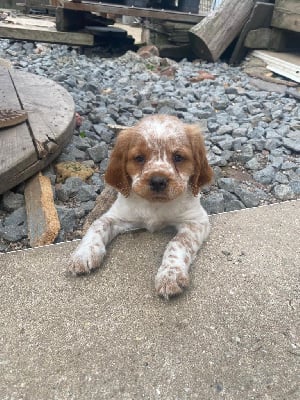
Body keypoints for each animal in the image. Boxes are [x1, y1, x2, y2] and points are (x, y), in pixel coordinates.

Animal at [69, 114, 213, 298]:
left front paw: (170, 274)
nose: (158, 180)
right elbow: (97, 225)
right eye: (139, 158)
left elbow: (178, 243)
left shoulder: (196, 221)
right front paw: (84, 254)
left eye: (178, 157)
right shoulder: (116, 215)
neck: (155, 204)